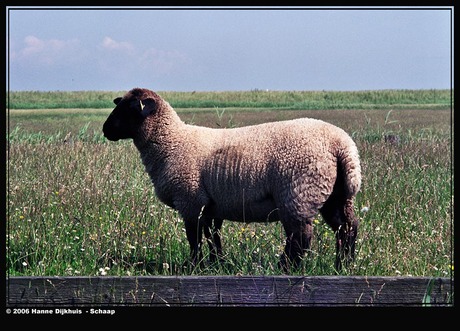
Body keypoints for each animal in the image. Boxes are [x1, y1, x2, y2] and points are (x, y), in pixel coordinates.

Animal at [102, 88, 362, 272]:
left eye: (128, 109)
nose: (105, 130)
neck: (171, 142)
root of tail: (341, 144)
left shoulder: (190, 201)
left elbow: (194, 239)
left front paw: (193, 267)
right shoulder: (210, 206)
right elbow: (212, 237)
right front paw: (218, 264)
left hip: (298, 193)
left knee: (300, 237)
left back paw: (285, 268)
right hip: (335, 194)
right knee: (347, 227)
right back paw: (343, 265)